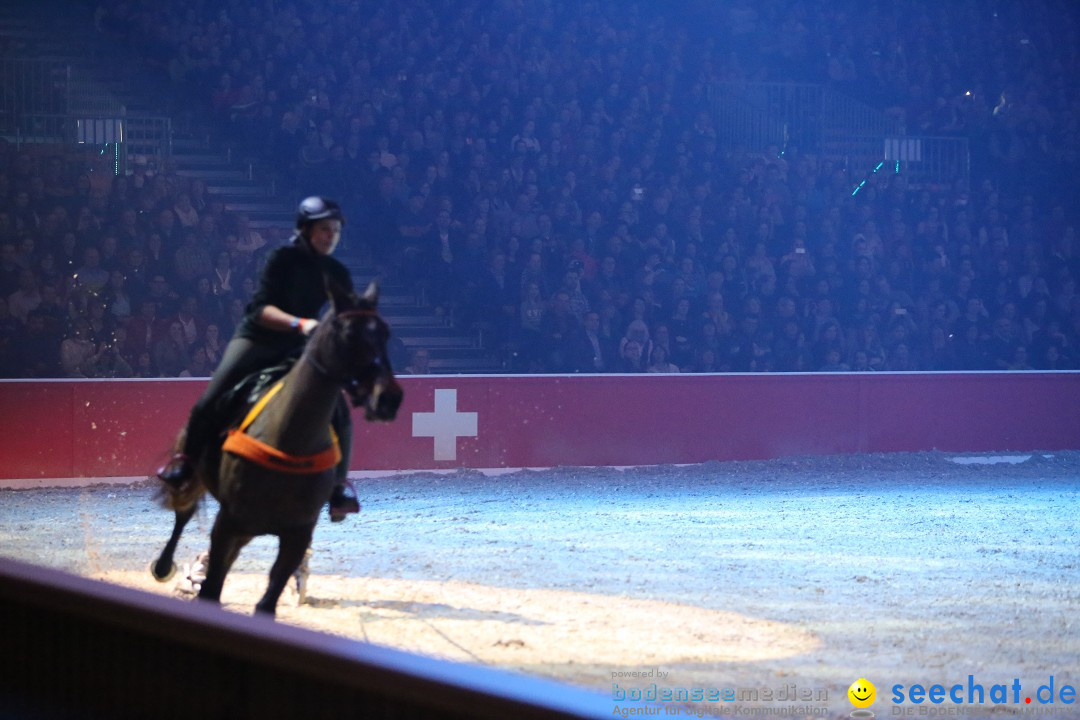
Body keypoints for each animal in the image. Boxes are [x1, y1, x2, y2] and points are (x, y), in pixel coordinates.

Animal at [150, 278, 403, 617]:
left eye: (385, 333)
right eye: (349, 334)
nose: (389, 398)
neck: (289, 442)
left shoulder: (297, 534)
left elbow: (268, 599)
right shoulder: (228, 522)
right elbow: (212, 587)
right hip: (197, 481)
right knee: (183, 514)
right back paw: (164, 566)